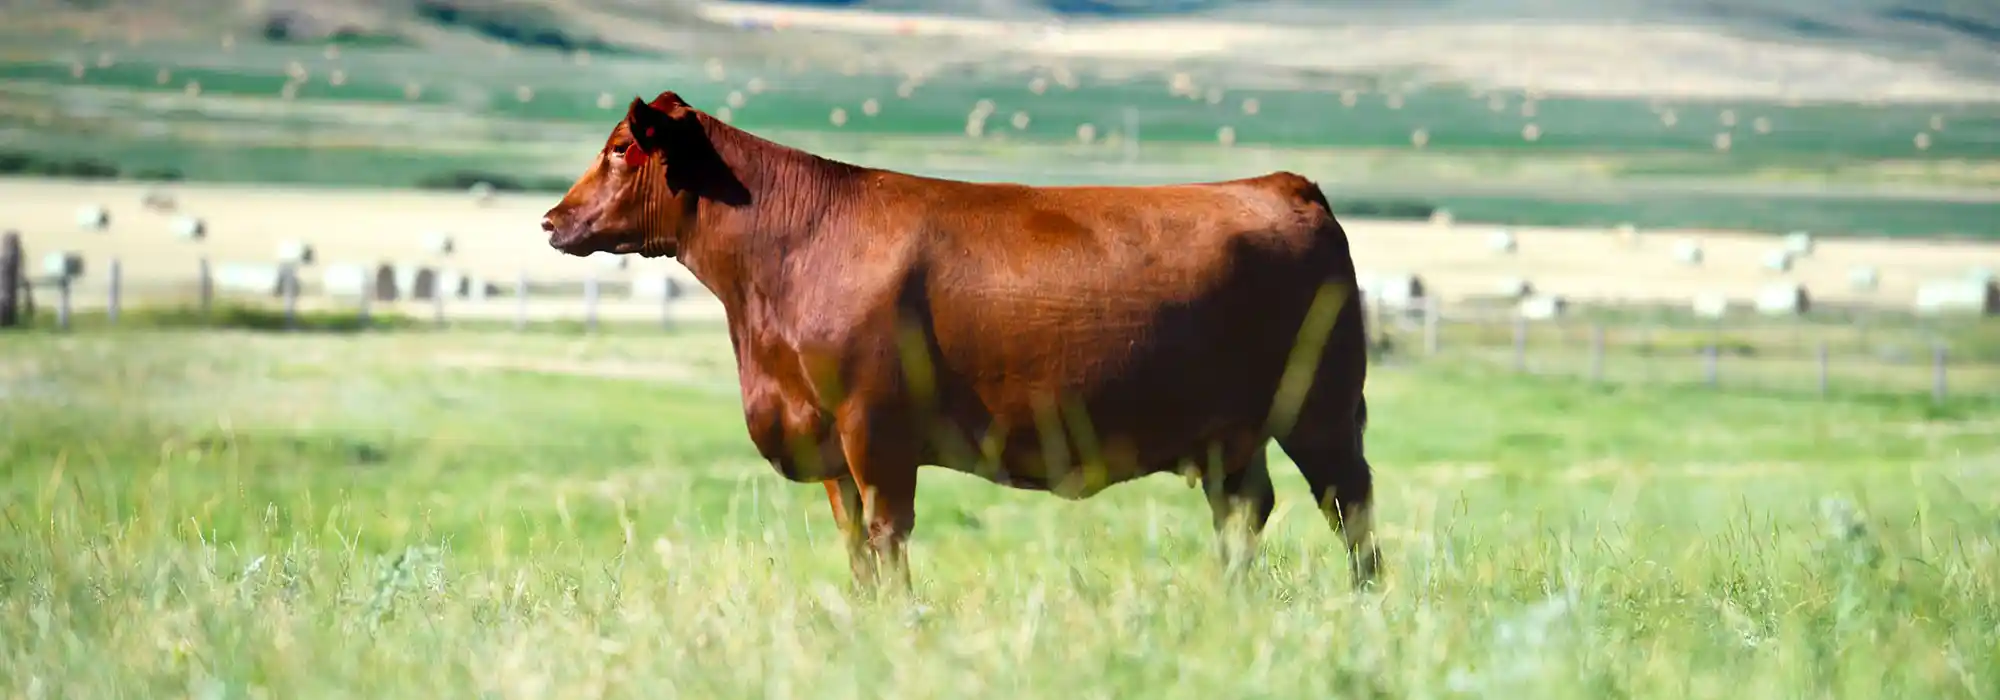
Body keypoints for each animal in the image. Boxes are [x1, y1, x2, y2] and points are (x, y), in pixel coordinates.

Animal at [541, 91, 1382, 591]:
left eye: (621, 148)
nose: (552, 219)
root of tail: (1279, 183)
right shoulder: (827, 440)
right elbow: (853, 539)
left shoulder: (873, 428)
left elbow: (887, 534)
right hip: (1233, 432)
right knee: (1244, 508)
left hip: (1321, 408)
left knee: (1348, 503)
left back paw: (1364, 599)